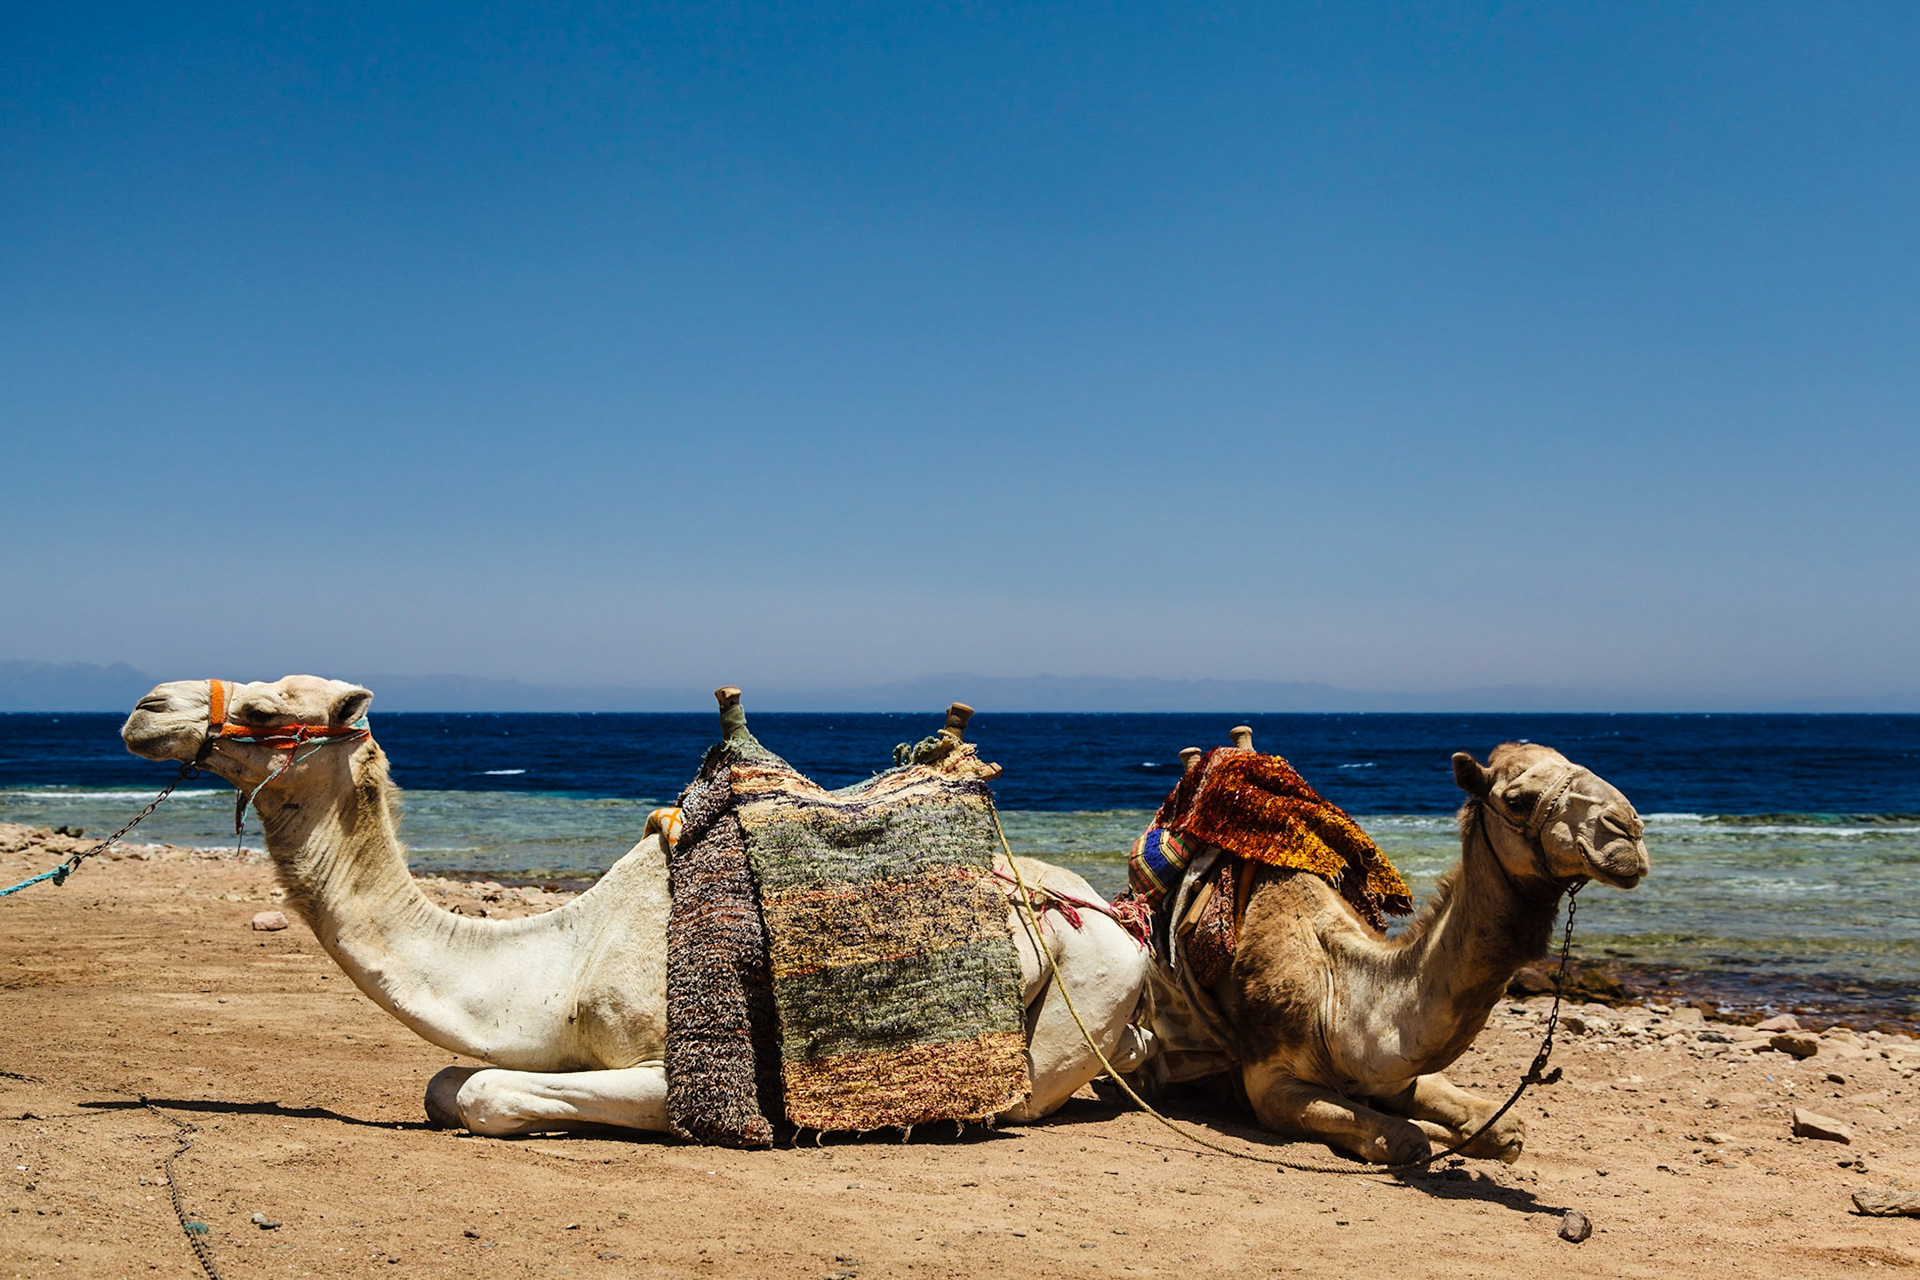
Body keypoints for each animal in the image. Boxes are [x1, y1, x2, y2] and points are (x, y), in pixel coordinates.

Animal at [121, 675, 1150, 1137]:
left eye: (264, 710)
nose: (145, 705)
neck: (560, 960)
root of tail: (1105, 907)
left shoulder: (697, 1069)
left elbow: (479, 1089)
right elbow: (446, 1082)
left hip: (1086, 984)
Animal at [1143, 737, 1649, 1165]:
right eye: (1517, 799)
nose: (1628, 830)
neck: (1337, 992)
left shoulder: (1398, 1072)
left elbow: (1503, 1128)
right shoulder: (1270, 1083)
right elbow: (1407, 1136)